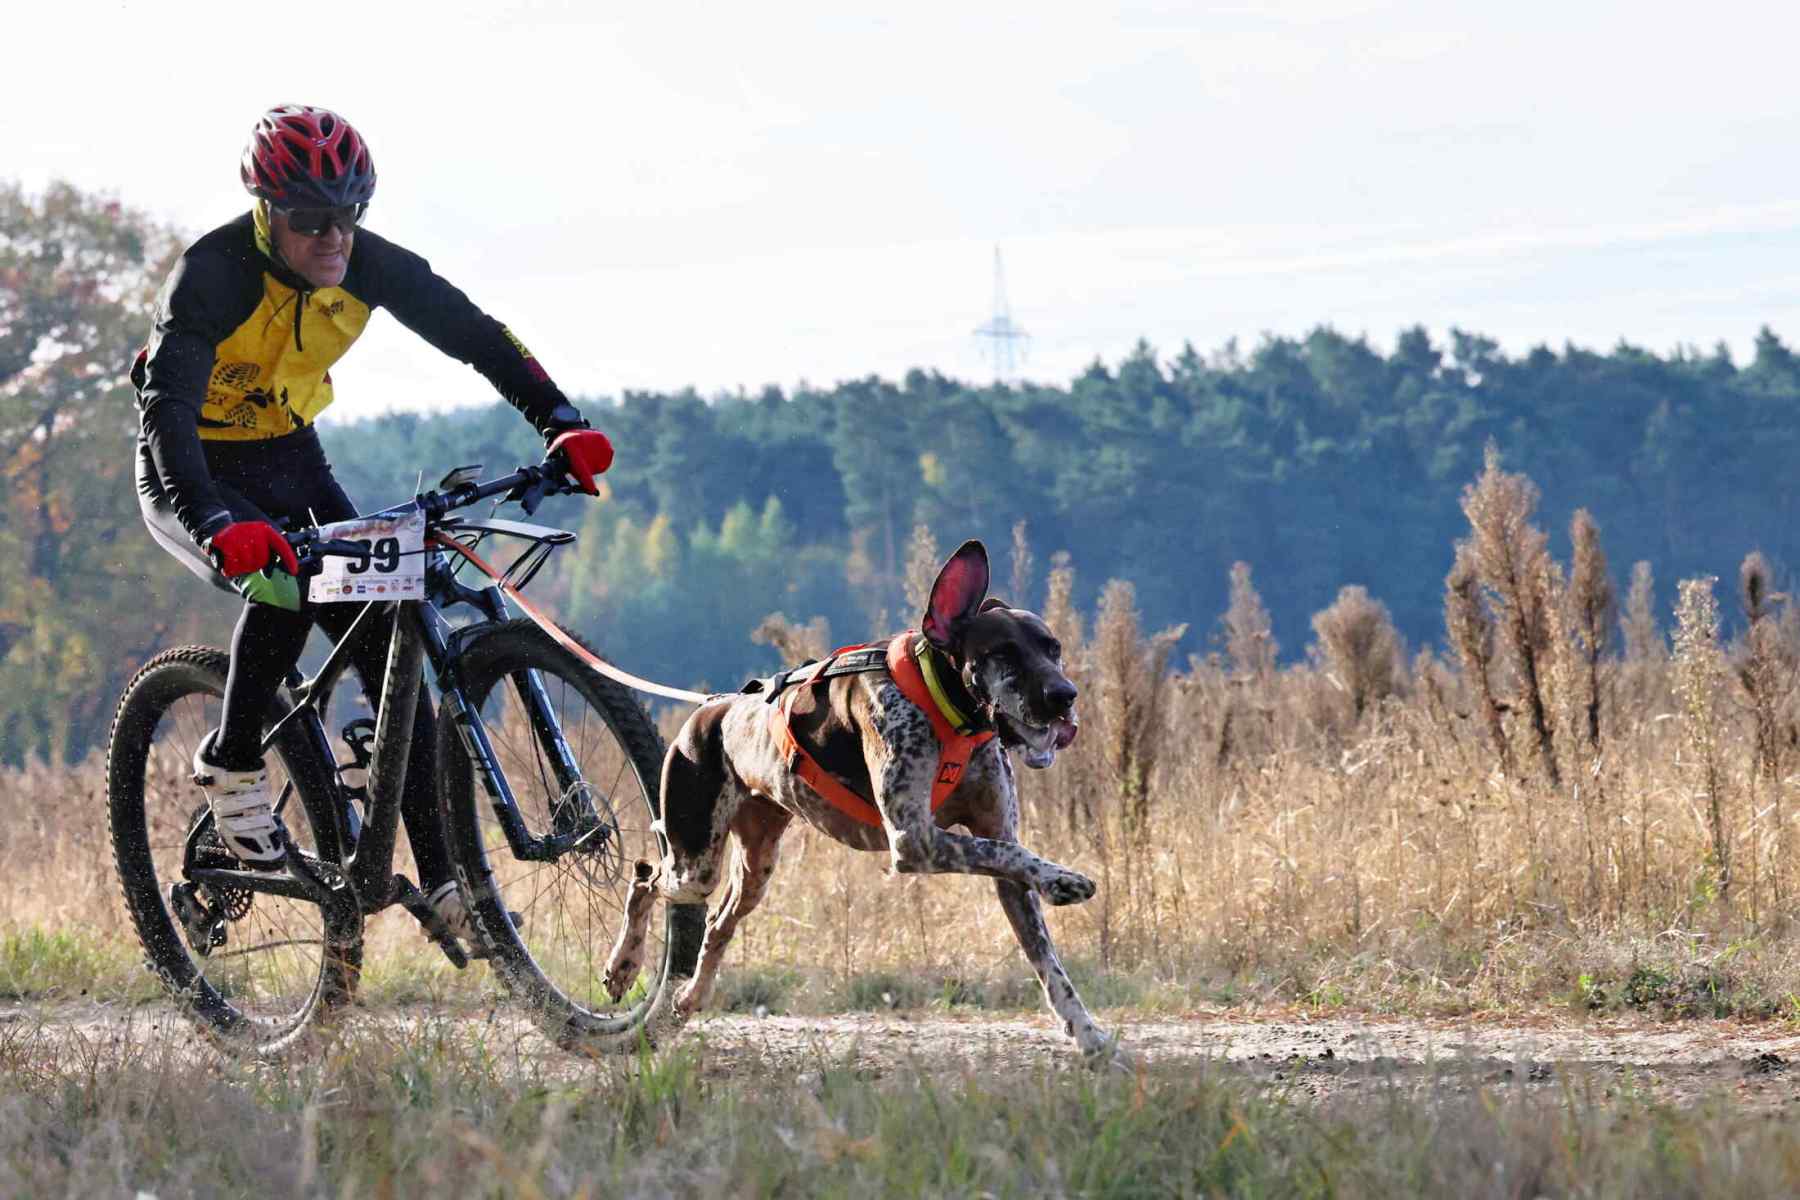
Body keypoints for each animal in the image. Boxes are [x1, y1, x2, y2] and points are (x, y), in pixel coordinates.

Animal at [603, 539, 1119, 1061]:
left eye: (1053, 647)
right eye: (1004, 653)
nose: (1065, 695)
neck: (948, 711)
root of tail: (710, 709)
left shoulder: (999, 860)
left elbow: (1049, 962)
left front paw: (1088, 1033)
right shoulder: (916, 840)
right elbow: (1011, 854)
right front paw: (1062, 878)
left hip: (754, 869)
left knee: (716, 923)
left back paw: (691, 994)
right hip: (695, 864)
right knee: (645, 878)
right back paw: (623, 964)